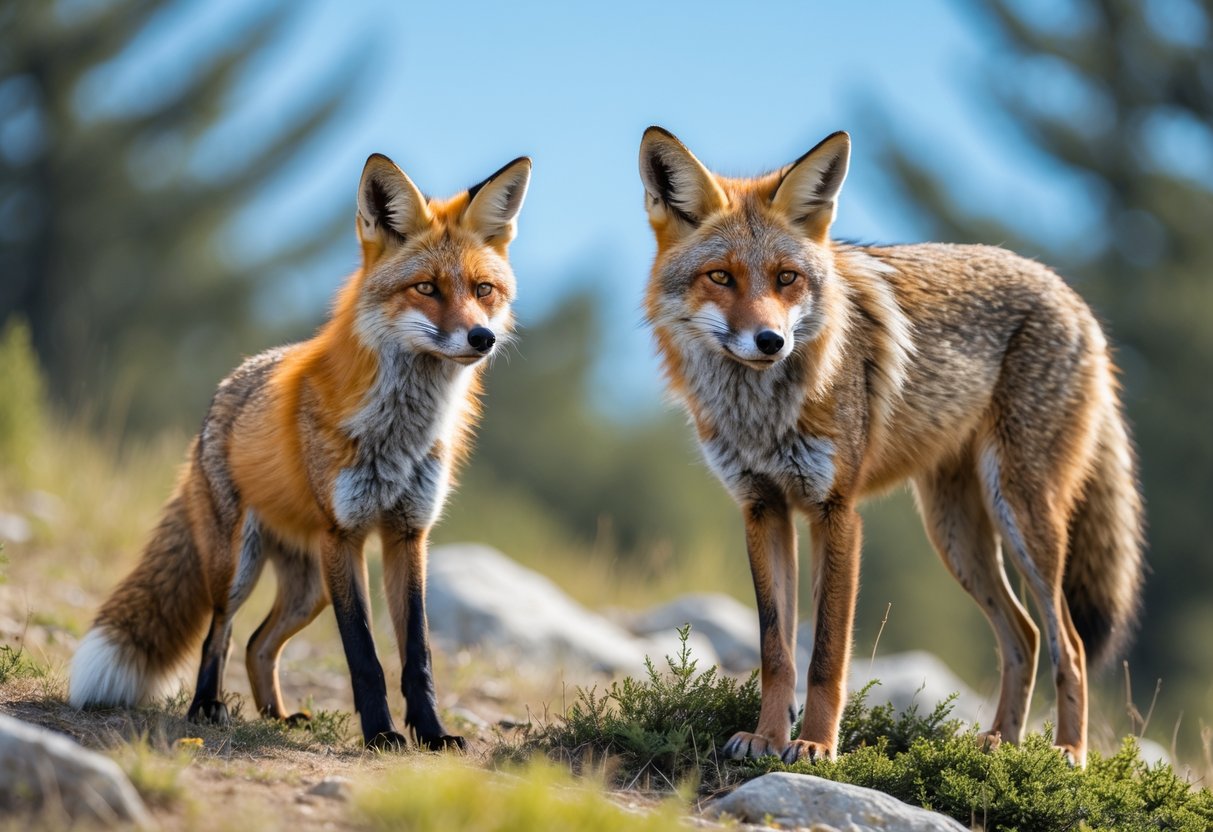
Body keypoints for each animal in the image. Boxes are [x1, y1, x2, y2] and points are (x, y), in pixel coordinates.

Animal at [68, 151, 532, 751]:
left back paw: (277, 715)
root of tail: (226, 388)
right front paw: (381, 734)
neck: (400, 434)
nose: (482, 338)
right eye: (427, 288)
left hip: (310, 589)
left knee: (258, 644)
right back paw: (206, 706)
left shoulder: (408, 534)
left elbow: (418, 655)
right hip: (239, 567)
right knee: (221, 633)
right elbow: (364, 655)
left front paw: (431, 734)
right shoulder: (345, 535)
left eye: (483, 290)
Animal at [638, 126, 1144, 767]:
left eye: (786, 278)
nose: (771, 341)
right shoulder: (762, 508)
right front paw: (767, 739)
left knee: (1069, 644)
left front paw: (814, 745)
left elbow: (827, 655)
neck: (762, 417)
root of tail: (1069, 293)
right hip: (956, 534)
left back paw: (1066, 754)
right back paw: (1001, 746)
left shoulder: (837, 512)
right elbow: (776, 652)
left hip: (1023, 517)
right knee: (1025, 635)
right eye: (721, 277)